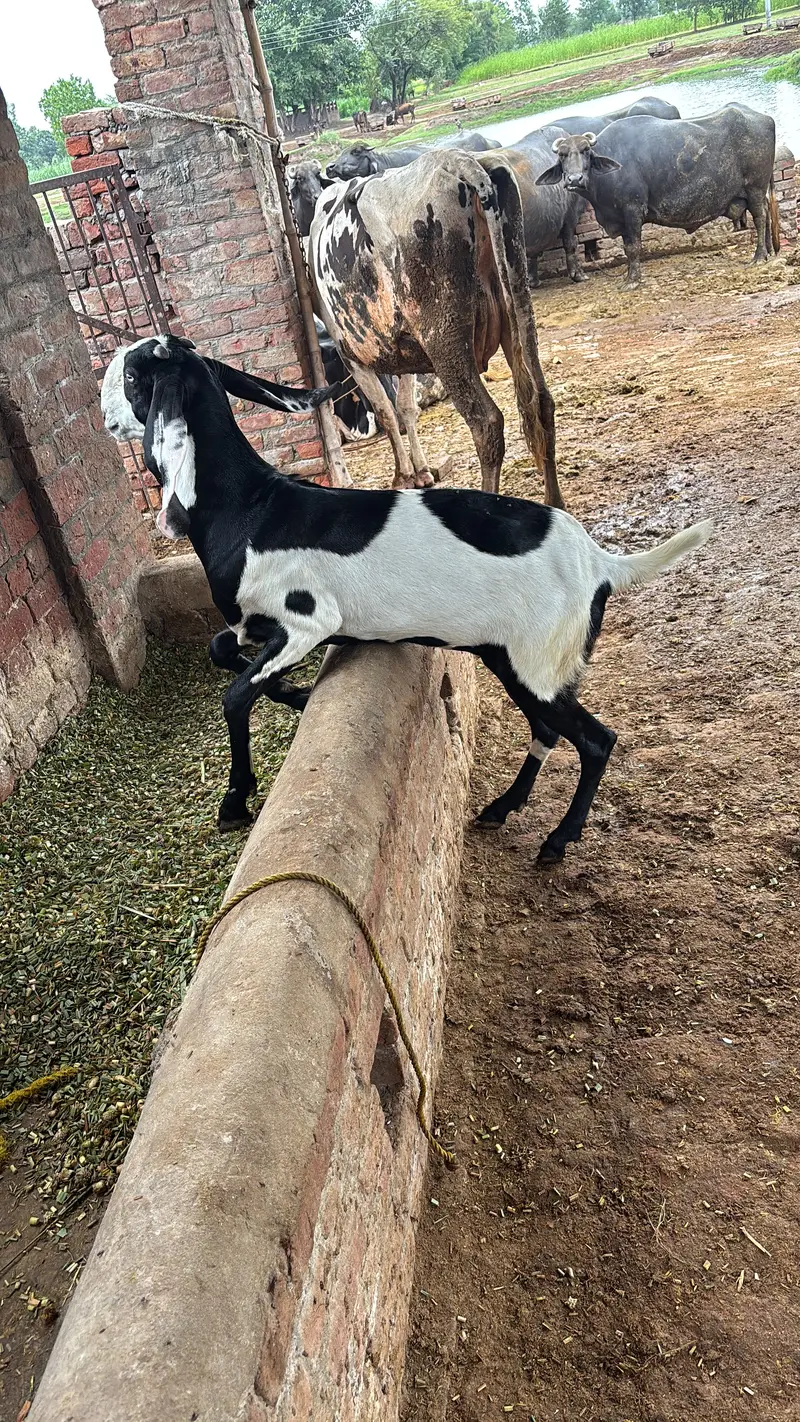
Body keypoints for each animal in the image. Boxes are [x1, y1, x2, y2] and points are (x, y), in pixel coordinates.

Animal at [102, 335, 712, 864]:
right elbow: (220, 651)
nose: (107, 417)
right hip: (520, 661)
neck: (252, 507)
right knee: (547, 730)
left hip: (536, 664)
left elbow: (235, 695)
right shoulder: (257, 625)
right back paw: (501, 809)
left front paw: (235, 800)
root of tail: (601, 564)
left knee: (595, 740)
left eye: (132, 375)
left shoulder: (307, 621)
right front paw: (298, 696)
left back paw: (557, 842)